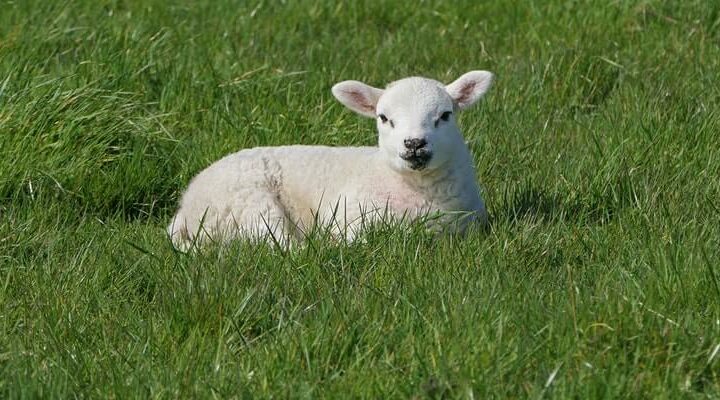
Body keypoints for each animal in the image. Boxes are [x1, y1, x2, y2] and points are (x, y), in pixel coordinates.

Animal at [169, 70, 496, 248]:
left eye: (445, 115)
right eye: (384, 118)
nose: (414, 143)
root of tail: (185, 208)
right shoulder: (345, 217)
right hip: (248, 204)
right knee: (279, 247)